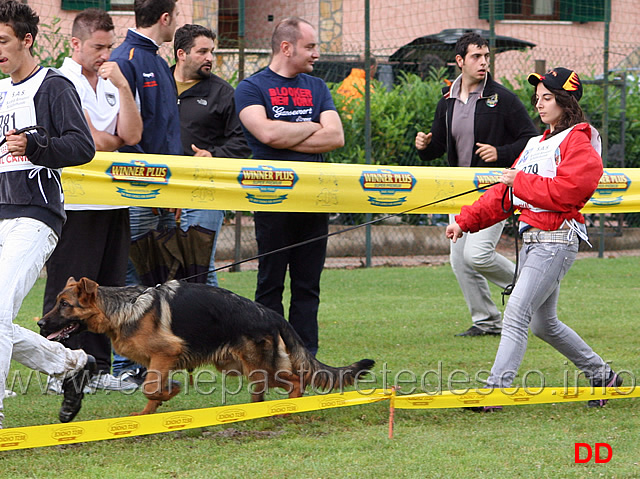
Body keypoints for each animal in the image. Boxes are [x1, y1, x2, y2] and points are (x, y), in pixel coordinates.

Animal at [40, 278, 376, 416]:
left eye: (64, 305)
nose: (41, 324)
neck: (122, 307)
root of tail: (272, 315)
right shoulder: (156, 362)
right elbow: (151, 390)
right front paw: (149, 414)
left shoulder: (166, 354)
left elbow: (151, 387)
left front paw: (170, 392)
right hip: (244, 367)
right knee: (272, 387)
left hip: (258, 368)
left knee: (297, 380)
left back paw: (289, 408)